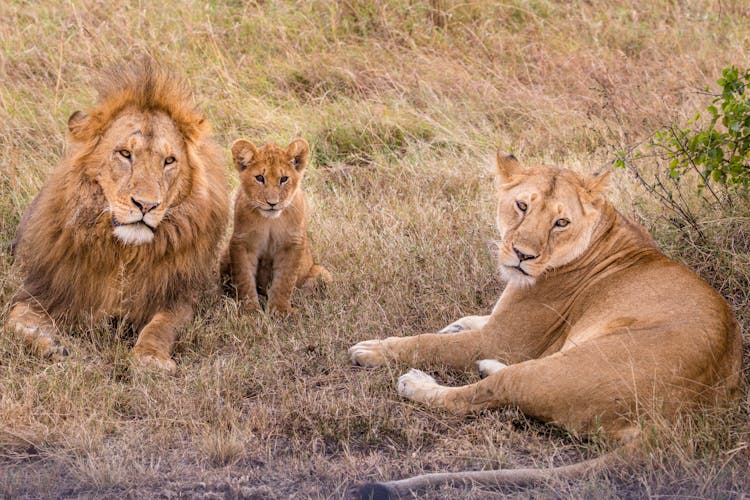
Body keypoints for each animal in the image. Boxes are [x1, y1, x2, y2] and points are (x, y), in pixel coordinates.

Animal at [6, 59, 229, 372]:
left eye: (169, 161)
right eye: (124, 153)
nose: (146, 205)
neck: (125, 253)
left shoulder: (179, 296)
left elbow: (161, 326)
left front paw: (150, 358)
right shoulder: (48, 289)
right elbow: (13, 320)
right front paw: (50, 345)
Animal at [222, 139, 330, 314]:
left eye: (284, 179)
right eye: (260, 178)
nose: (272, 203)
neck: (270, 221)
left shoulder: (292, 243)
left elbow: (284, 280)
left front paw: (280, 311)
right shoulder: (242, 242)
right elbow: (244, 278)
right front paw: (250, 311)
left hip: (323, 273)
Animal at [350, 153, 744, 496]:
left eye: (561, 222)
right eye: (522, 206)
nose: (522, 255)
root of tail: (680, 423)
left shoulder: (502, 341)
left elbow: (428, 343)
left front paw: (372, 349)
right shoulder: (499, 326)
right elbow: (472, 319)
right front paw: (456, 325)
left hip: (555, 369)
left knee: (478, 396)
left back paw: (418, 382)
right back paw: (484, 367)